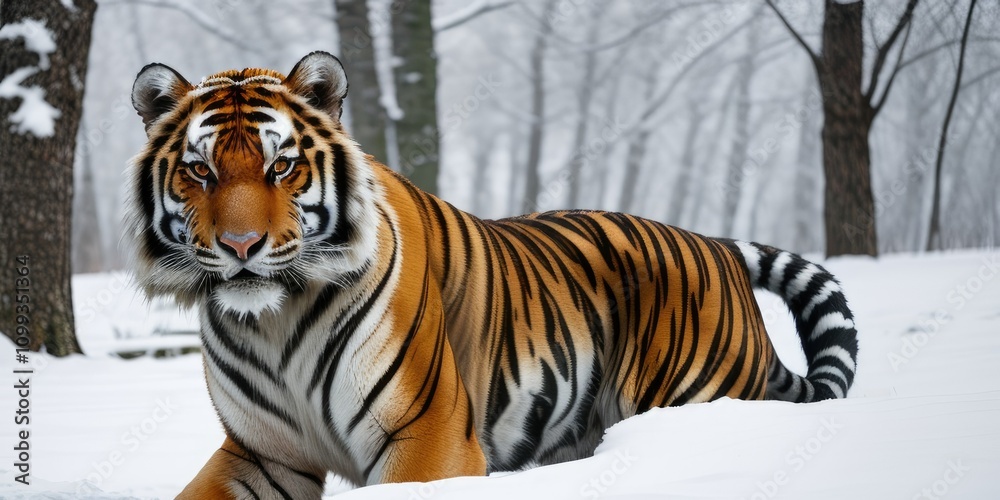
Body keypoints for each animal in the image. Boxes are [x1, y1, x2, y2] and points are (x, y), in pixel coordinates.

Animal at [125, 51, 858, 499]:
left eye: (281, 166)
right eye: (199, 170)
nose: (240, 244)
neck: (274, 321)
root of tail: (713, 244)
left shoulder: (427, 439)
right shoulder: (263, 453)